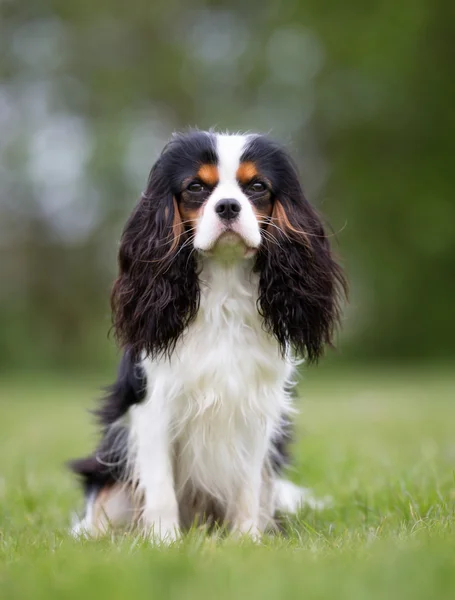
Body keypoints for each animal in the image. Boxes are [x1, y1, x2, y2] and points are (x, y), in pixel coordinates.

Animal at [69, 130, 346, 540]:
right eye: (196, 187)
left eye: (257, 187)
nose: (228, 206)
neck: (224, 285)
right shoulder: (153, 407)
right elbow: (160, 486)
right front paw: (164, 541)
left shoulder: (256, 409)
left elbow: (248, 483)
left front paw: (247, 539)